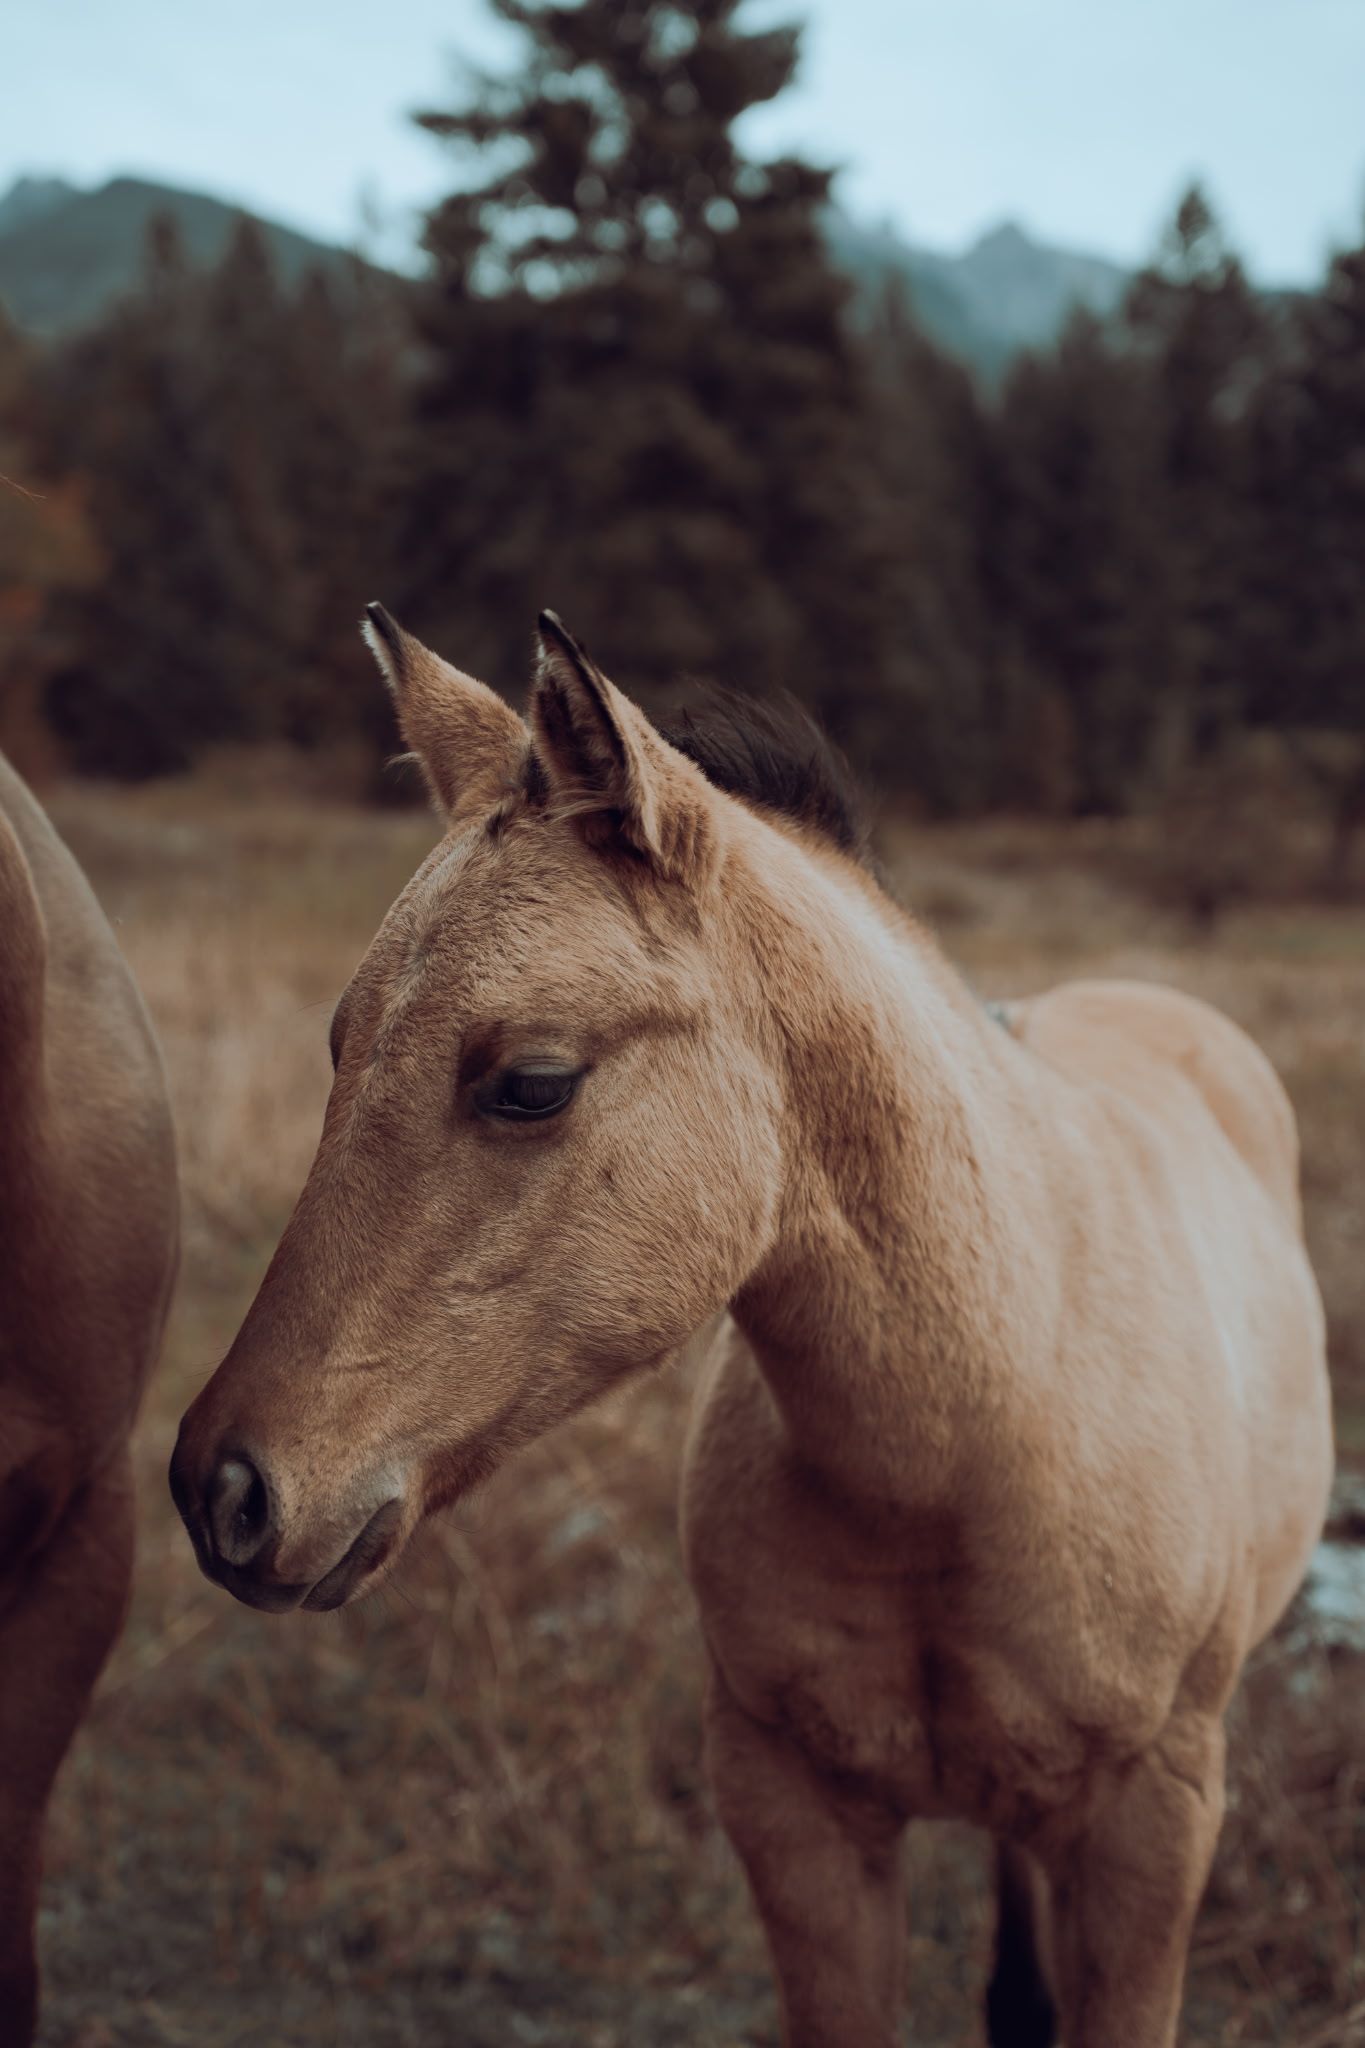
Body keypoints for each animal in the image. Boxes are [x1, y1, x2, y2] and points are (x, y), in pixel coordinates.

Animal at [171, 607, 1332, 2048]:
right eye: (341, 1047)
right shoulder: (794, 1819)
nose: (226, 1490)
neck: (977, 1438)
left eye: (530, 1083)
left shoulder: (1151, 1830)